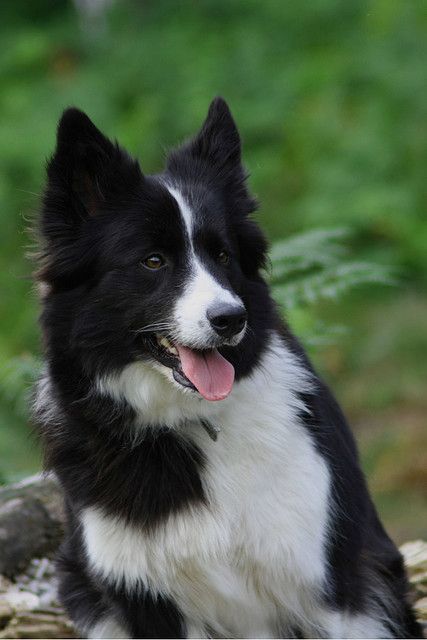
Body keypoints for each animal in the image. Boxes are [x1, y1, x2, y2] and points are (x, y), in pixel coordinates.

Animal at [34, 97, 422, 636]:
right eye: (153, 261)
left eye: (221, 254)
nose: (231, 319)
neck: (190, 422)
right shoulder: (146, 601)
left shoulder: (327, 587)